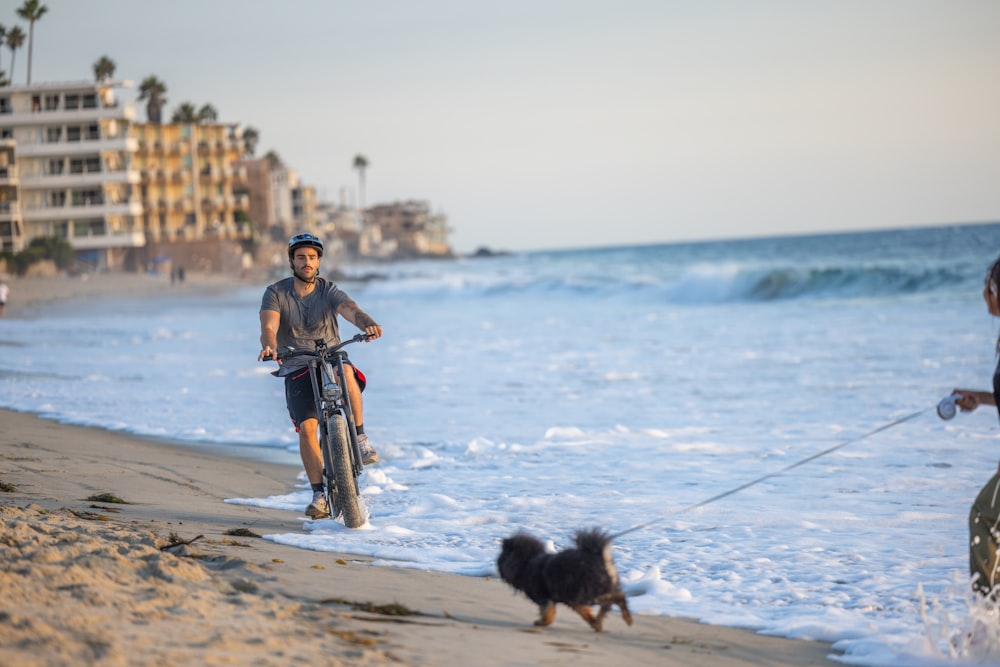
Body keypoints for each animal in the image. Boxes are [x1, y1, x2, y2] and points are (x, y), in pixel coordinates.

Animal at [494, 528, 628, 632]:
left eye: (501, 558)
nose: (497, 563)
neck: (527, 563)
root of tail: (601, 558)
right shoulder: (571, 600)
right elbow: (585, 613)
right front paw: (595, 624)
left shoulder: (545, 598)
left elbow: (548, 615)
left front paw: (541, 622)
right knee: (617, 596)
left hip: (589, 592)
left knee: (614, 599)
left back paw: (625, 616)